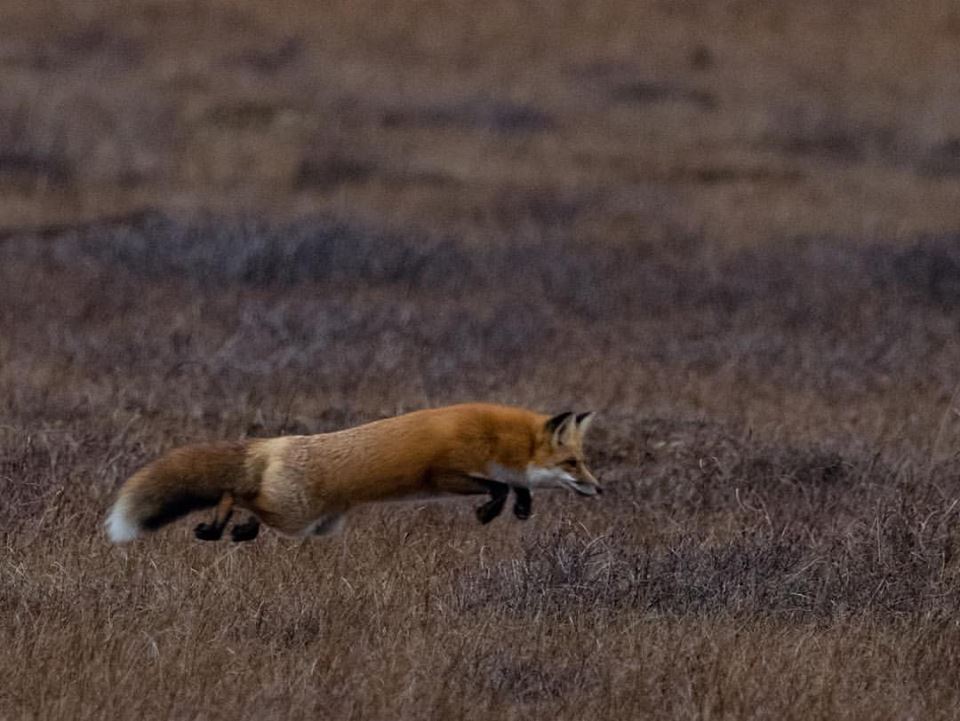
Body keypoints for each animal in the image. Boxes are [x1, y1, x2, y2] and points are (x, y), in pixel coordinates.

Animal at [105, 403, 601, 544]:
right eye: (573, 464)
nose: (600, 487)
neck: (494, 438)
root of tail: (277, 442)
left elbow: (514, 486)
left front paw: (521, 507)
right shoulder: (443, 474)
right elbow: (496, 485)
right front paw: (491, 511)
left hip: (310, 525)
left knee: (249, 506)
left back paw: (238, 530)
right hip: (295, 516)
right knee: (235, 493)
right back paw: (218, 525)